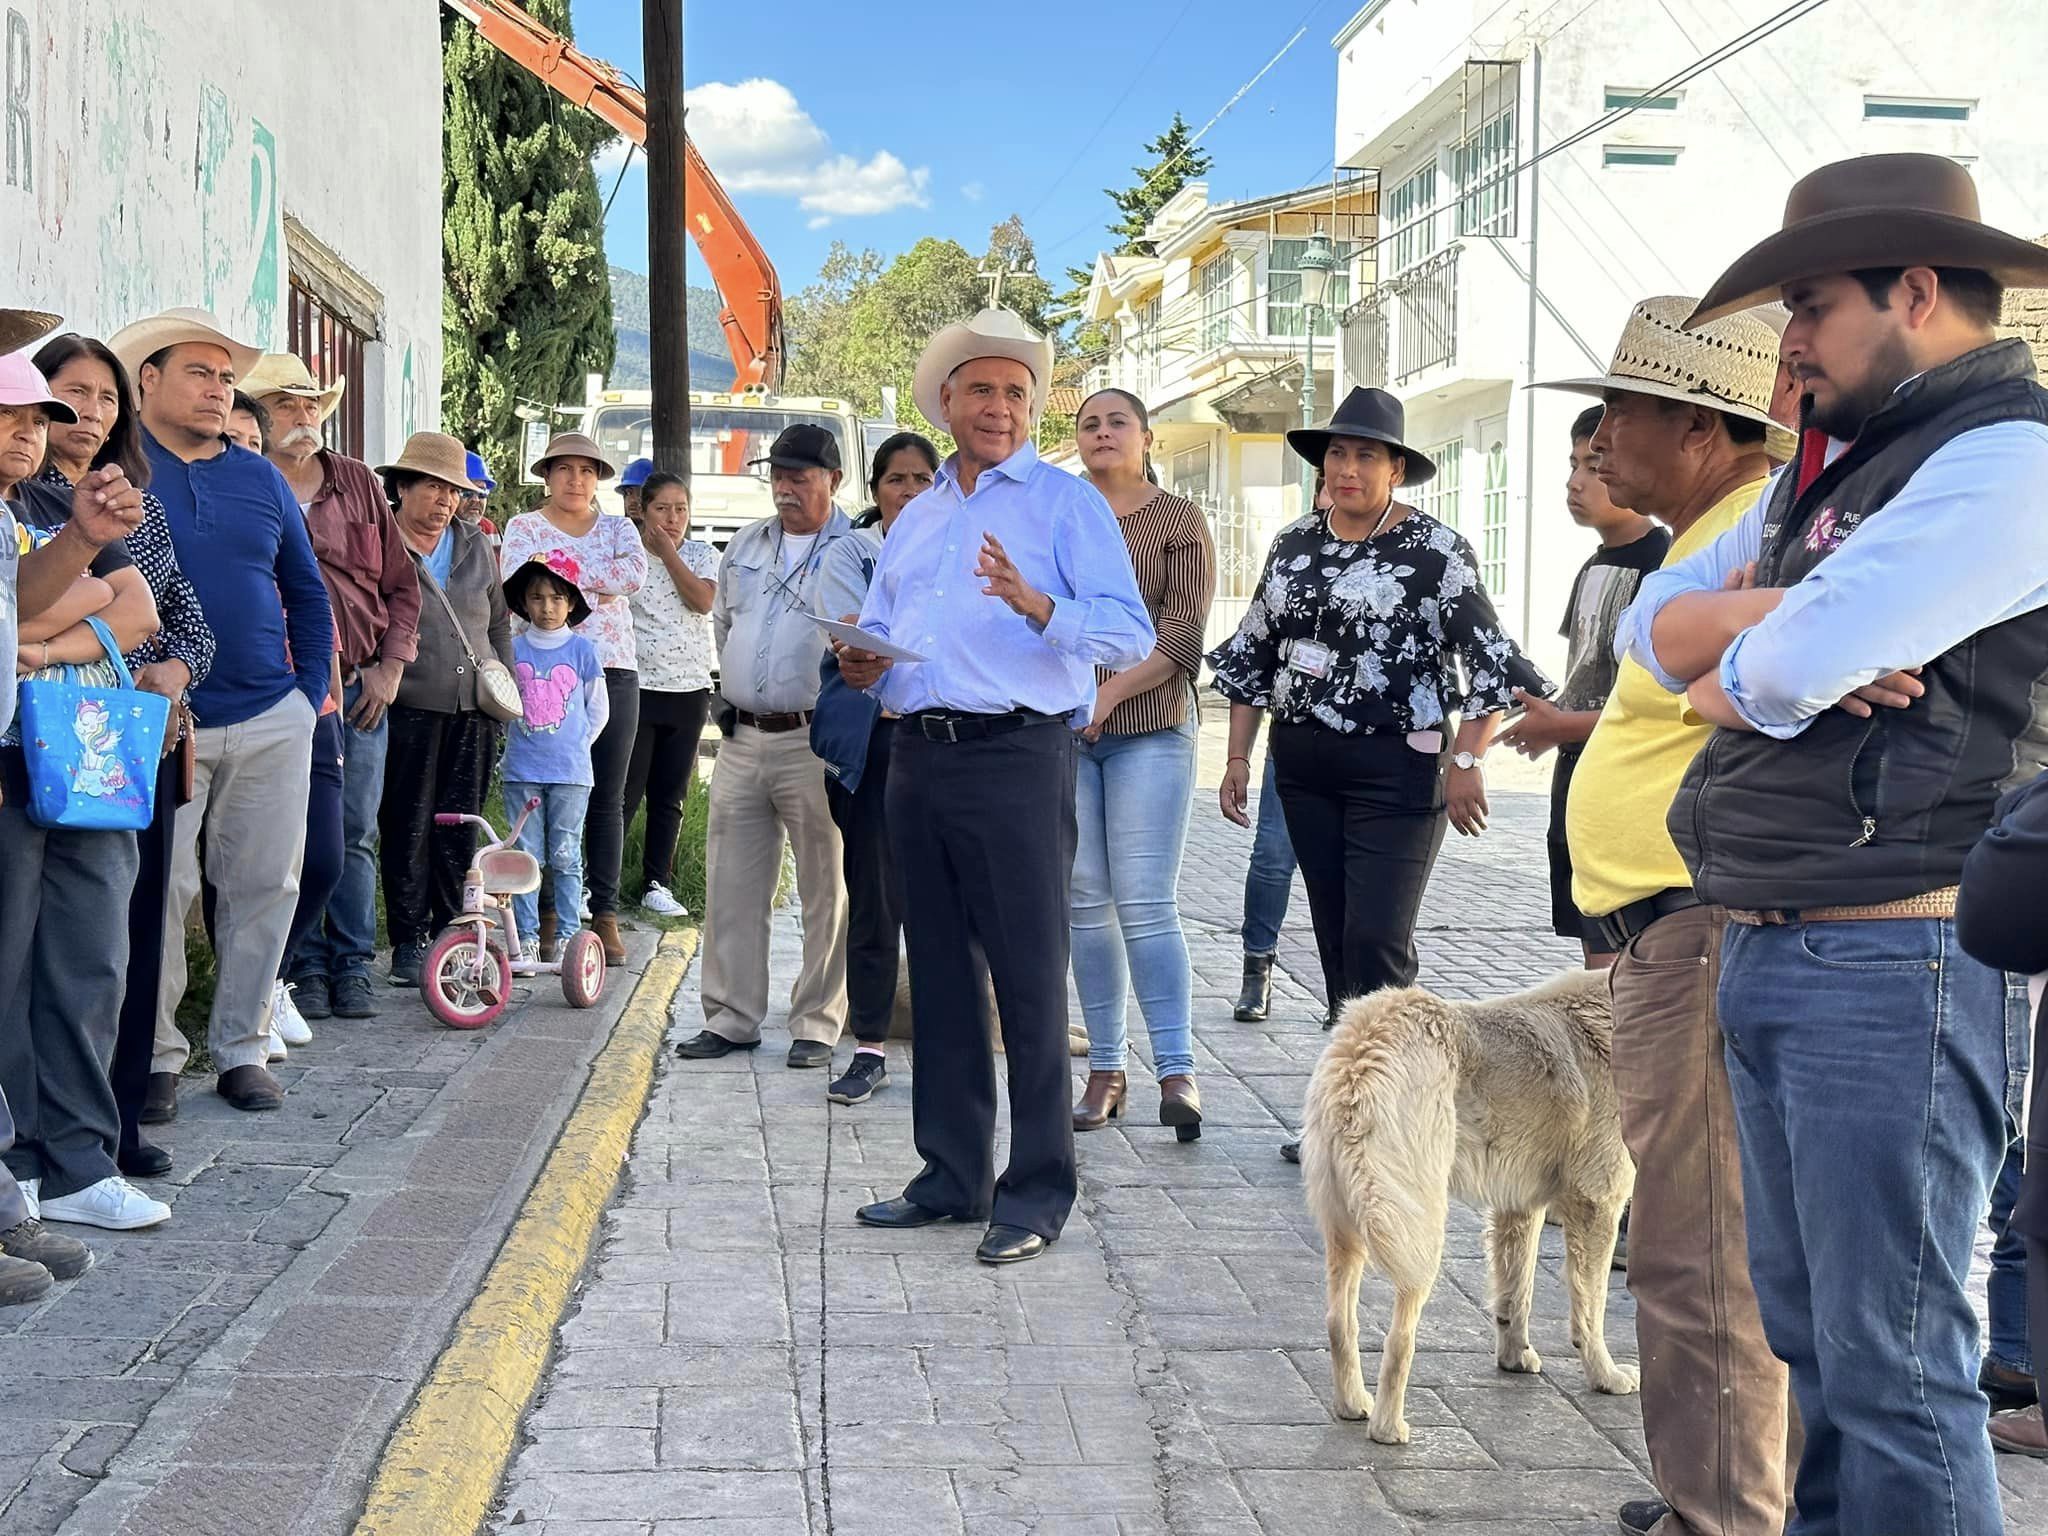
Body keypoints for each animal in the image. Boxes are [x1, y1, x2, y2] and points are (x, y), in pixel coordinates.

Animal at [1302, 966, 1638, 1449]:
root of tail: (1361, 1051)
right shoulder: (1597, 1205)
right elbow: (1591, 1307)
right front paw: (1605, 1375)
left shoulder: (1519, 1206)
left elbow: (1516, 1292)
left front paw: (1515, 1357)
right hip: (1417, 1227)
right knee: (1399, 1339)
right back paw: (1388, 1428)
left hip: (1346, 1224)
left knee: (1338, 1321)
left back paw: (1353, 1404)